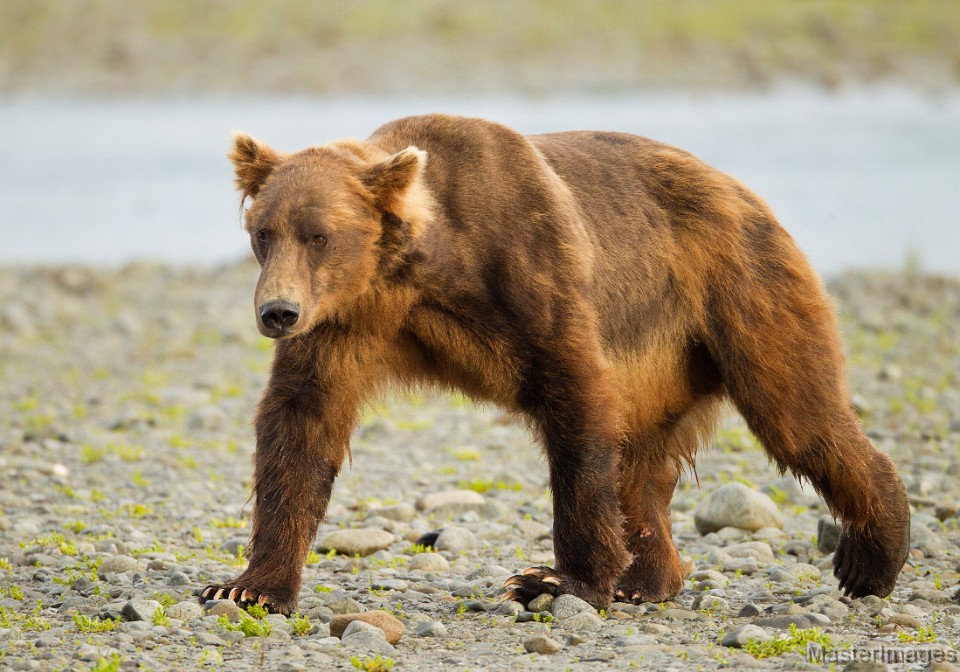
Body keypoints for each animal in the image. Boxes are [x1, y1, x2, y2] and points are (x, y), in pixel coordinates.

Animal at [201, 114, 908, 616]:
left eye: (319, 234)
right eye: (263, 232)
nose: (277, 312)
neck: (425, 269)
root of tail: (745, 192)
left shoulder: (530, 266)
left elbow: (577, 404)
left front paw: (553, 580)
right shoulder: (347, 321)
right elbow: (301, 423)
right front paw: (247, 586)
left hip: (739, 290)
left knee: (795, 412)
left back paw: (871, 557)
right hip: (666, 361)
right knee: (642, 467)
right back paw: (649, 579)